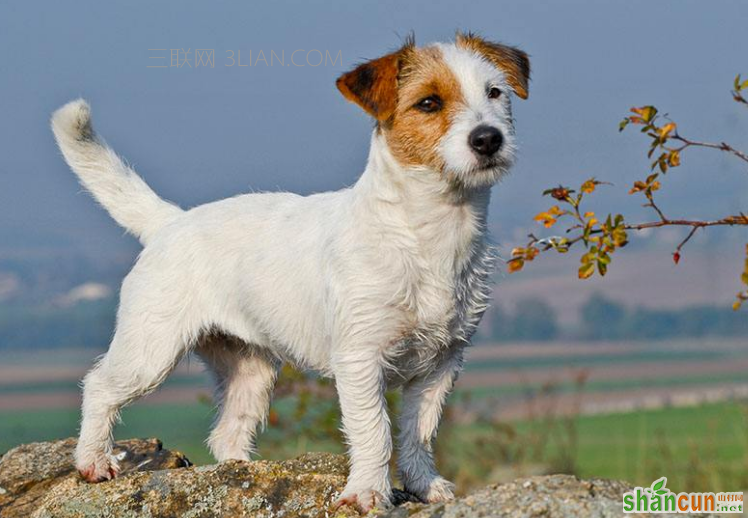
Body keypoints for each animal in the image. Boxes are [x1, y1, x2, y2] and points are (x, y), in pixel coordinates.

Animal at [51, 33, 524, 516]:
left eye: (494, 92)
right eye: (429, 102)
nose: (488, 139)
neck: (428, 232)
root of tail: (171, 222)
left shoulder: (442, 363)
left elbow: (419, 431)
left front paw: (423, 484)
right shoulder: (361, 359)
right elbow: (375, 430)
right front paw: (369, 492)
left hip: (250, 371)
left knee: (227, 433)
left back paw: (241, 477)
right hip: (150, 349)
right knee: (100, 386)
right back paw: (93, 461)